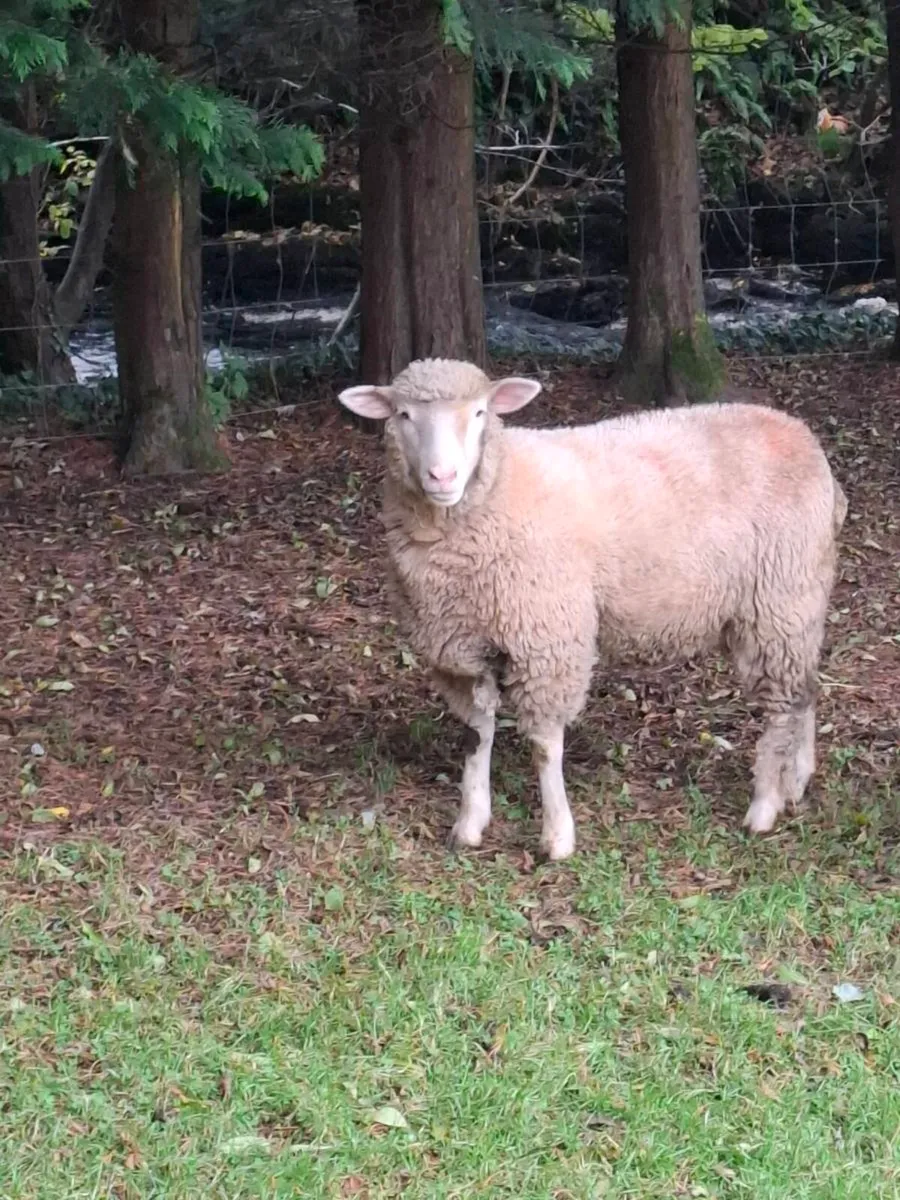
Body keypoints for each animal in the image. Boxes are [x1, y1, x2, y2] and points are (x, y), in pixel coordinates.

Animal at [338, 358, 847, 861]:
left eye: (480, 412)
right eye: (404, 415)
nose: (442, 478)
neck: (495, 492)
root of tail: (805, 438)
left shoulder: (546, 640)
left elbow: (545, 746)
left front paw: (557, 837)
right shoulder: (462, 651)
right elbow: (477, 734)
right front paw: (470, 822)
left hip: (780, 599)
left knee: (781, 706)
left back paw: (763, 806)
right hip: (789, 607)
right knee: (805, 688)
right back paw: (797, 780)